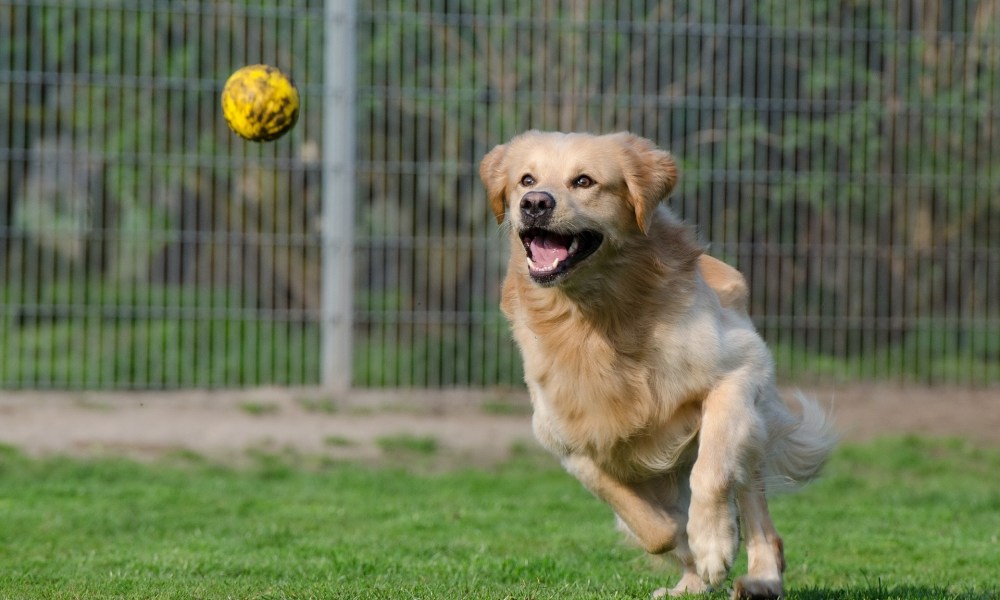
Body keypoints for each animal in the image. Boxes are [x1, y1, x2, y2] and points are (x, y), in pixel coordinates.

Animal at [478, 132, 836, 600]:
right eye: (526, 179)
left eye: (583, 181)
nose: (535, 203)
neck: (596, 317)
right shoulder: (568, 441)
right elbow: (652, 527)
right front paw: (691, 548)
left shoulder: (739, 371)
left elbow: (711, 472)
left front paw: (713, 543)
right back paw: (689, 582)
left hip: (751, 427)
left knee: (755, 509)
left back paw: (760, 576)